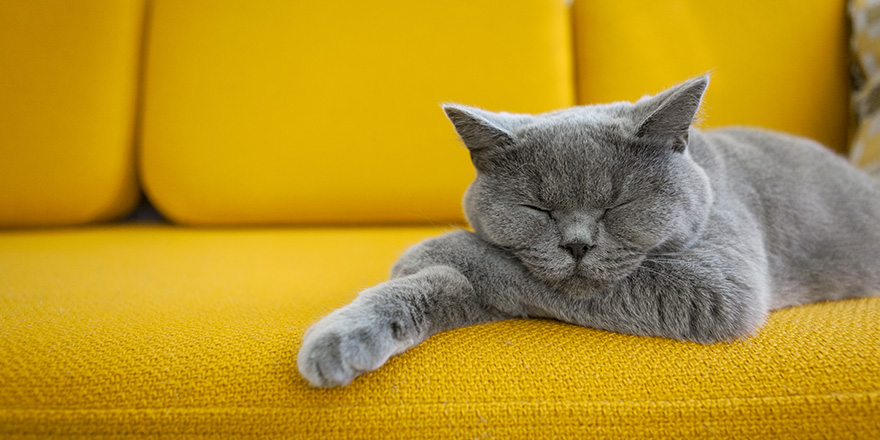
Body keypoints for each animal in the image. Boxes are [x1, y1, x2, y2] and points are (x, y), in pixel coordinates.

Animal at [296, 76, 880, 388]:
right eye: (538, 208)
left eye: (618, 204)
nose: (577, 244)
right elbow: (448, 286)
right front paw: (341, 340)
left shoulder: (720, 286)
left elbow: (495, 262)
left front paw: (430, 247)